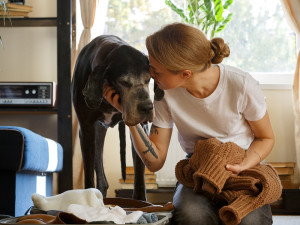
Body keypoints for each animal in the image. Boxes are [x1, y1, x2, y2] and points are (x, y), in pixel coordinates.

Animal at [71, 35, 154, 200]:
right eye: (123, 82)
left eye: (148, 79)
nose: (147, 108)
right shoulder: (86, 129)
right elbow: (89, 173)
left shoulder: (141, 130)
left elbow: (139, 176)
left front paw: (141, 201)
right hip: (97, 134)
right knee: (100, 176)